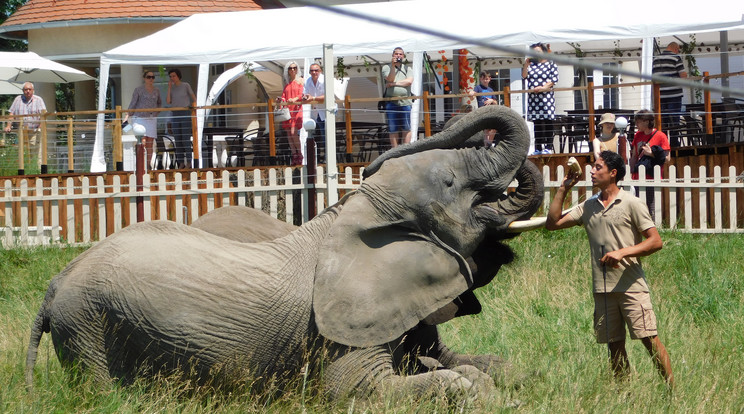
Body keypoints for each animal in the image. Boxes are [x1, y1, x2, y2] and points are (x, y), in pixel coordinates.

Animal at [26, 106, 544, 402]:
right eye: (451, 183)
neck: (356, 213)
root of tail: (54, 285)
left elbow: (472, 364)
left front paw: (513, 380)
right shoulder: (341, 330)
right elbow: (359, 390)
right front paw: (482, 393)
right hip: (88, 328)